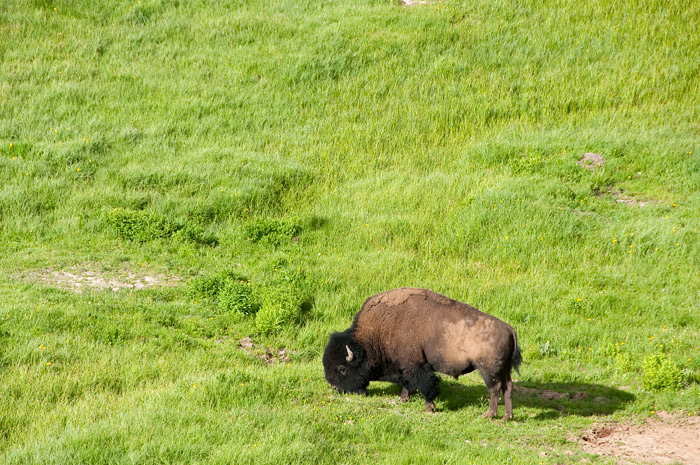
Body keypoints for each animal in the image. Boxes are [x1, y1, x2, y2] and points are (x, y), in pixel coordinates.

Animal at [322, 286, 520, 416]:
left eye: (342, 368)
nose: (335, 387)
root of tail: (509, 329)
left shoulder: (416, 365)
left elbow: (425, 384)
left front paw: (429, 408)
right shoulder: (405, 366)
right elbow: (407, 383)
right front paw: (403, 398)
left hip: (487, 370)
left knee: (495, 388)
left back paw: (490, 414)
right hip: (504, 369)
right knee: (508, 387)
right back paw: (507, 417)